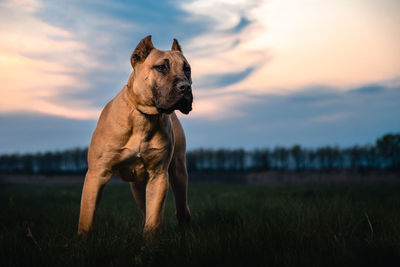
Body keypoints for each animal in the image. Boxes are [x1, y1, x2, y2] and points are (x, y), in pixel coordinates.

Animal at [77, 35, 193, 239]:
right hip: (138, 186)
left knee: (181, 209)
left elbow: (154, 218)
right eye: (161, 67)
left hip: (178, 173)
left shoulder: (158, 176)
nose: (186, 87)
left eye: (187, 69)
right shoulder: (97, 173)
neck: (143, 117)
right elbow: (87, 215)